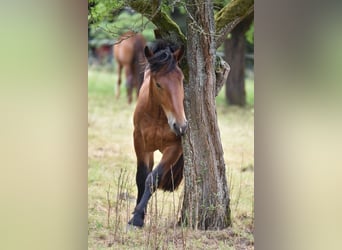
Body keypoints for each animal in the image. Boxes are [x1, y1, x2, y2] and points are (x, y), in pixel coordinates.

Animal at [128, 40, 187, 228]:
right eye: (159, 84)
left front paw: (137, 217)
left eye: (182, 80)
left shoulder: (174, 148)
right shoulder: (140, 143)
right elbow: (142, 177)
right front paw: (137, 217)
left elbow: (153, 178)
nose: (181, 126)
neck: (159, 116)